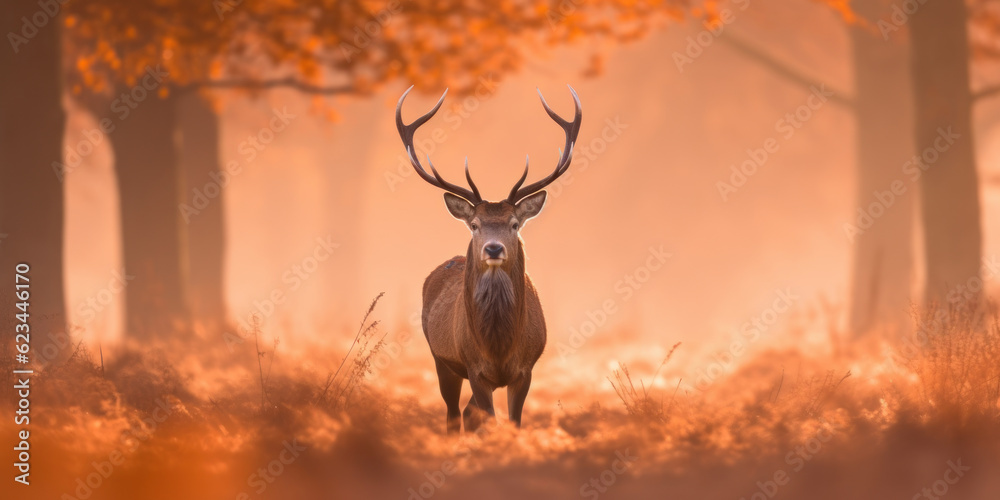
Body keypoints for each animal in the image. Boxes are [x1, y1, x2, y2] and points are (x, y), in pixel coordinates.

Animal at [394, 84, 584, 432]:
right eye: (475, 224)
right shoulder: (474, 368)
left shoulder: (526, 370)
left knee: (467, 414)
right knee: (454, 416)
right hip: (441, 360)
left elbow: (513, 422)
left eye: (514, 223)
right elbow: (487, 418)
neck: (499, 347)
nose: (493, 249)